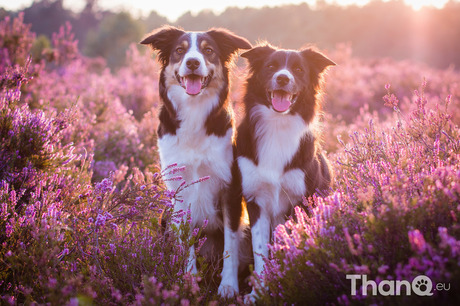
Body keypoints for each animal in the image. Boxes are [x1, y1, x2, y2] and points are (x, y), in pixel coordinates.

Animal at [139, 26, 250, 278]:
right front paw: (189, 280)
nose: (192, 62)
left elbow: (230, 245)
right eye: (180, 51)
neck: (194, 112)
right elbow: (185, 243)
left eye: (208, 51)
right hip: (166, 214)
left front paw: (228, 284)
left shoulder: (230, 188)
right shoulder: (180, 190)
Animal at [218, 44, 334, 300]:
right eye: (271, 66)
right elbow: (261, 250)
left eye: (299, 70)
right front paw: (259, 292)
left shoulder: (302, 199)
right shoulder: (256, 200)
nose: (283, 78)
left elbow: (293, 244)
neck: (278, 124)